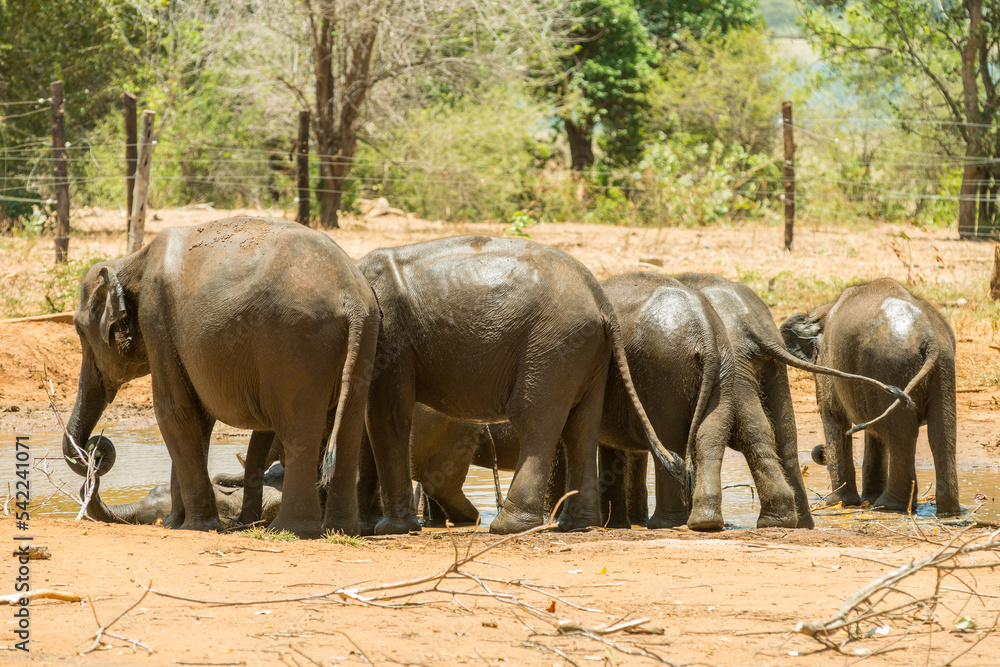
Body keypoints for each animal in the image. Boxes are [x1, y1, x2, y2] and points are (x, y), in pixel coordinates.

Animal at [62, 216, 380, 538]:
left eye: (79, 330)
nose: (95, 450)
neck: (131, 260)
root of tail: (351, 297)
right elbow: (198, 418)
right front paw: (176, 524)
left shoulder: (156, 319)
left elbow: (173, 410)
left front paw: (197, 527)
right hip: (365, 336)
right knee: (349, 426)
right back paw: (341, 530)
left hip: (298, 343)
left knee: (300, 429)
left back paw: (287, 530)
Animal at [355, 235, 685, 535]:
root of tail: (601, 298)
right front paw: (374, 527)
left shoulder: (391, 335)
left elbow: (386, 416)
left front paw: (388, 529)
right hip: (587, 349)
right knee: (581, 427)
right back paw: (575, 526)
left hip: (553, 343)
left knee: (535, 418)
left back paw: (508, 527)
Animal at [779, 278, 959, 516]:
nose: (819, 451)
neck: (824, 311)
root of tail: (930, 338)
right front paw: (864, 499)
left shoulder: (830, 363)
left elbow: (835, 418)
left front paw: (837, 502)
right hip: (943, 368)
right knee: (941, 434)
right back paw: (948, 512)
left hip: (891, 365)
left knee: (900, 435)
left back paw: (888, 506)